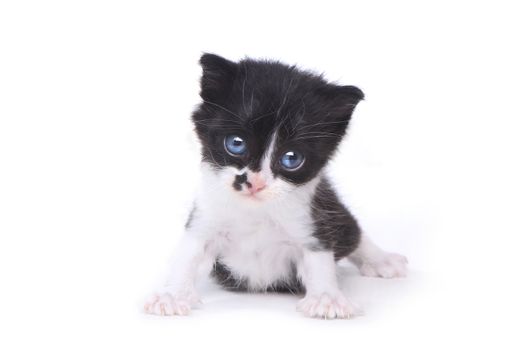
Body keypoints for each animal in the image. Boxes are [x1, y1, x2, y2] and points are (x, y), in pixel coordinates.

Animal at [144, 53, 410, 318]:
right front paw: (172, 294)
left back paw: (381, 259)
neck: (255, 212)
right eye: (236, 143)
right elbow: (188, 257)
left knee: (352, 230)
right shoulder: (205, 218)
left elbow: (319, 258)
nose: (255, 183)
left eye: (291, 158)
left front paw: (326, 297)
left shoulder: (310, 223)